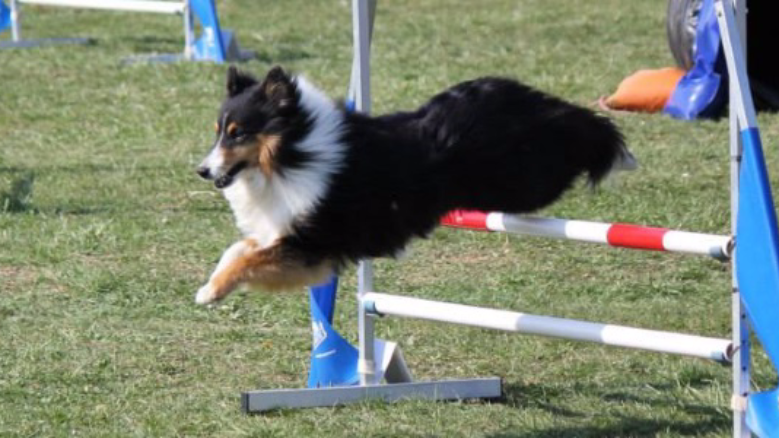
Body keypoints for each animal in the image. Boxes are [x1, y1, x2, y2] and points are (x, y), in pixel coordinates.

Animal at [193, 66, 632, 304]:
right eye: (218, 131)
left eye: (237, 133)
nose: (202, 170)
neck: (295, 153)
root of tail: (528, 99)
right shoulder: (284, 234)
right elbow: (238, 250)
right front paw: (212, 284)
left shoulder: (312, 244)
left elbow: (249, 258)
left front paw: (210, 293)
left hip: (526, 180)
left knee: (581, 132)